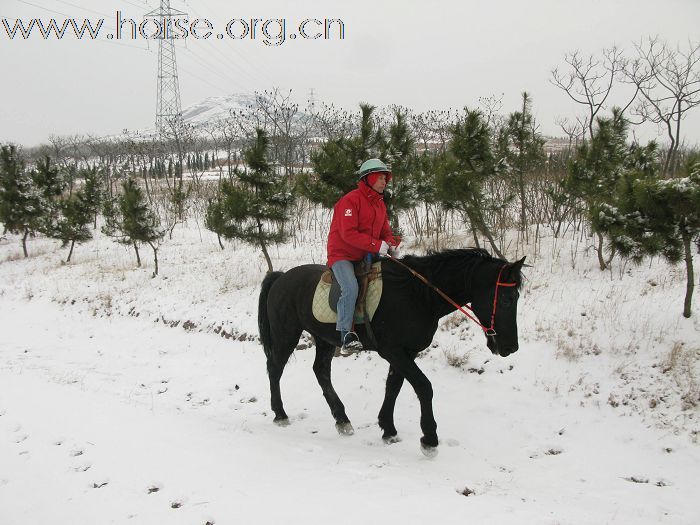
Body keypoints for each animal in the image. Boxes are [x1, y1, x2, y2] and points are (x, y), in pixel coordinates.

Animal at [258, 248, 524, 452]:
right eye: (507, 299)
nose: (511, 347)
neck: (418, 295)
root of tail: (280, 278)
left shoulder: (407, 351)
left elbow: (394, 386)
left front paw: (388, 429)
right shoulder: (392, 350)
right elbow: (423, 387)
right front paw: (429, 438)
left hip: (323, 339)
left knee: (320, 371)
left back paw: (342, 419)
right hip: (286, 334)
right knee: (275, 368)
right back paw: (280, 414)